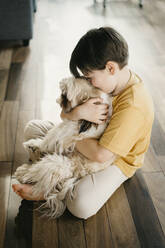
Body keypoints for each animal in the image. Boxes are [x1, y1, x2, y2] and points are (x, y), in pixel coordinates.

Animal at [14, 76, 113, 218]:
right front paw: (36, 144)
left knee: (38, 173)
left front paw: (39, 144)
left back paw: (23, 173)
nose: (58, 100)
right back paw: (33, 149)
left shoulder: (65, 130)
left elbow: (50, 138)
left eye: (65, 95)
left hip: (57, 164)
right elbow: (49, 138)